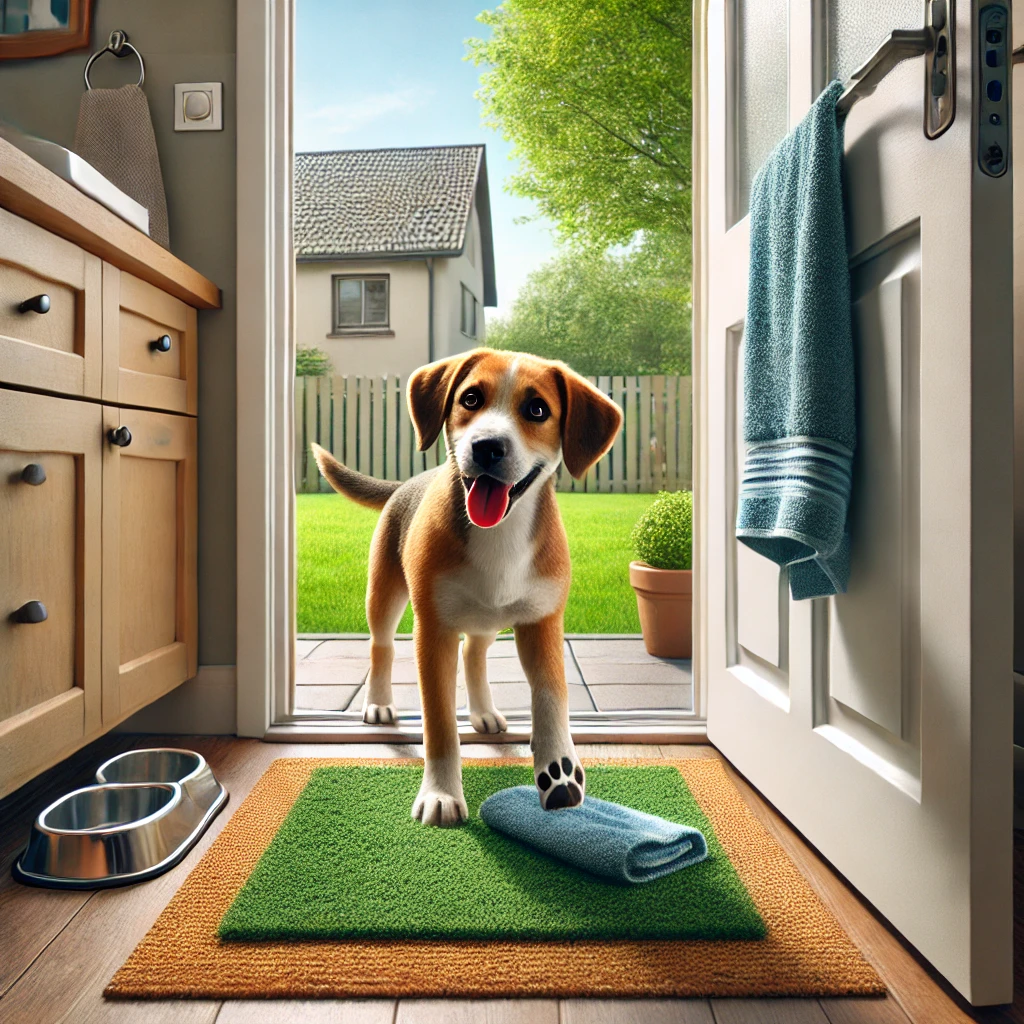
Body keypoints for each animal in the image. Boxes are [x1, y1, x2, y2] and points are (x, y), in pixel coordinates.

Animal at [307, 348, 618, 827]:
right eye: (471, 398)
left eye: (537, 409)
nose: (487, 446)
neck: (500, 534)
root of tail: (407, 484)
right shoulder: (433, 631)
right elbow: (439, 723)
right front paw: (441, 794)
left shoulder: (544, 621)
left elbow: (552, 698)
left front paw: (559, 772)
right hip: (384, 594)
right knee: (382, 646)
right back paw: (378, 704)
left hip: (486, 619)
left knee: (474, 653)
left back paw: (484, 713)